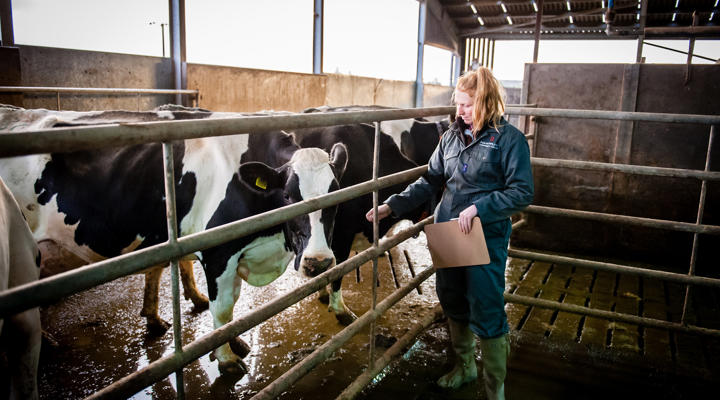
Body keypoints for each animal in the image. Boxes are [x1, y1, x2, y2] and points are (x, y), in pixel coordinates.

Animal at [0, 104, 347, 374]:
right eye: (288, 195)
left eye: (336, 194)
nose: (319, 262)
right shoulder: (218, 252)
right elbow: (223, 309)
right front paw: (226, 358)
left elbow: (231, 306)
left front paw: (232, 342)